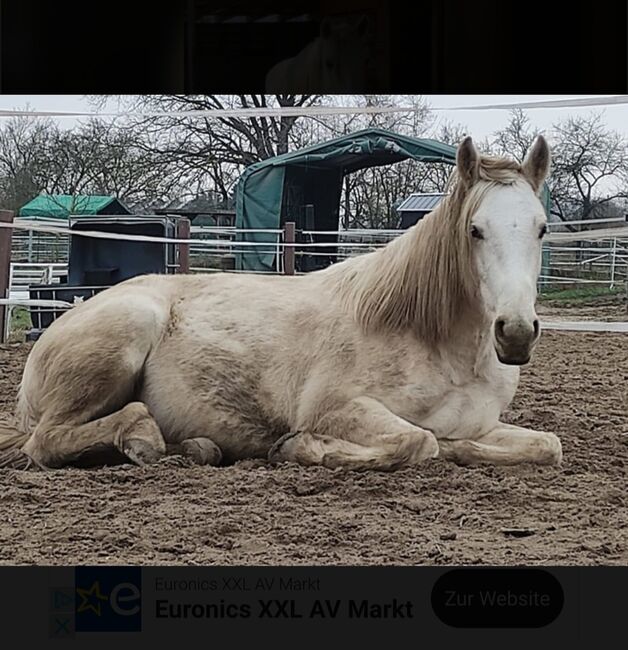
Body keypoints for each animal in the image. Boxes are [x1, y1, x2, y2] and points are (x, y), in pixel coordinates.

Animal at [0, 137, 560, 470]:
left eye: (541, 228)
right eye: (475, 230)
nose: (515, 332)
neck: (435, 344)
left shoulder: (484, 423)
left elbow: (545, 446)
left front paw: (462, 449)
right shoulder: (339, 408)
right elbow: (417, 442)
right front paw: (300, 447)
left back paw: (191, 447)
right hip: (128, 329)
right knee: (46, 441)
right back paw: (139, 438)